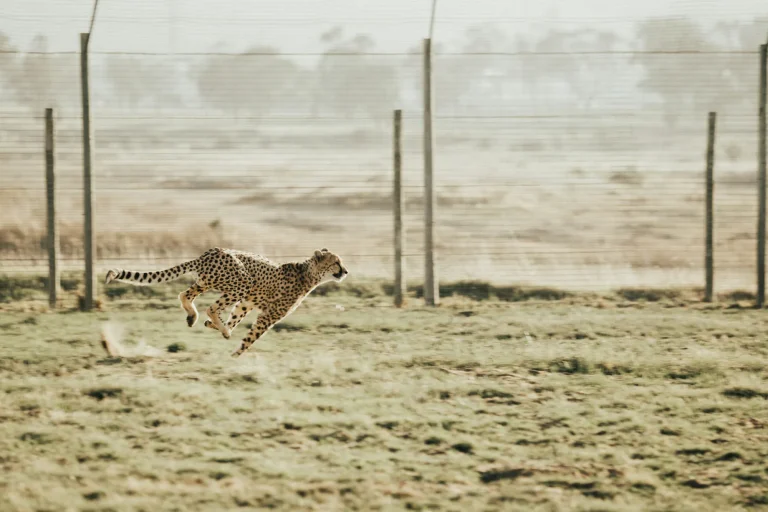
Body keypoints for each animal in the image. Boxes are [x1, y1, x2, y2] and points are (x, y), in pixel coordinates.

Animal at [104, 247, 349, 357]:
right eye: (336, 262)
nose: (345, 271)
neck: (308, 273)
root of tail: (209, 252)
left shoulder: (247, 303)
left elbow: (236, 317)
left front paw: (219, 328)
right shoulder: (268, 315)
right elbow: (251, 337)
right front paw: (235, 354)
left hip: (208, 282)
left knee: (185, 295)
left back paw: (195, 318)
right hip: (241, 281)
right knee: (211, 307)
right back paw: (216, 325)